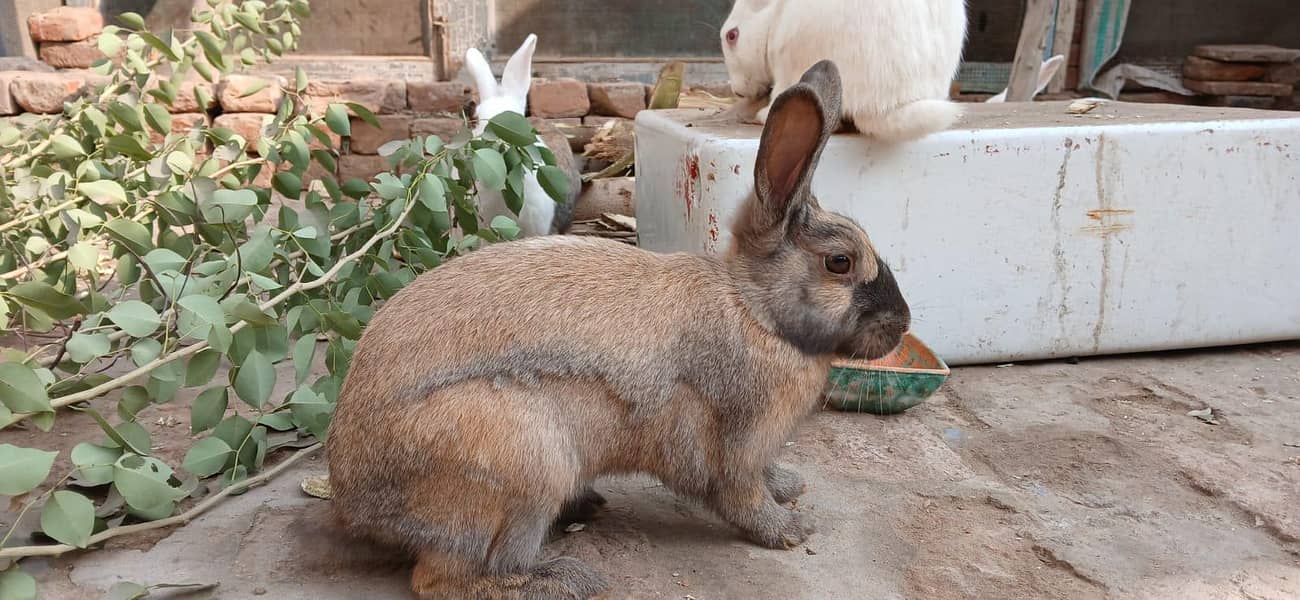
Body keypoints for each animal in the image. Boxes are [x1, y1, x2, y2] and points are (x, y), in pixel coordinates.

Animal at [326, 60, 911, 599]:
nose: (902, 325)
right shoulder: (734, 446)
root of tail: (353, 501)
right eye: (840, 262)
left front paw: (788, 487)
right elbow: (741, 498)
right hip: (523, 467)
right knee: (443, 579)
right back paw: (564, 579)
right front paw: (790, 529)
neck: (756, 310)